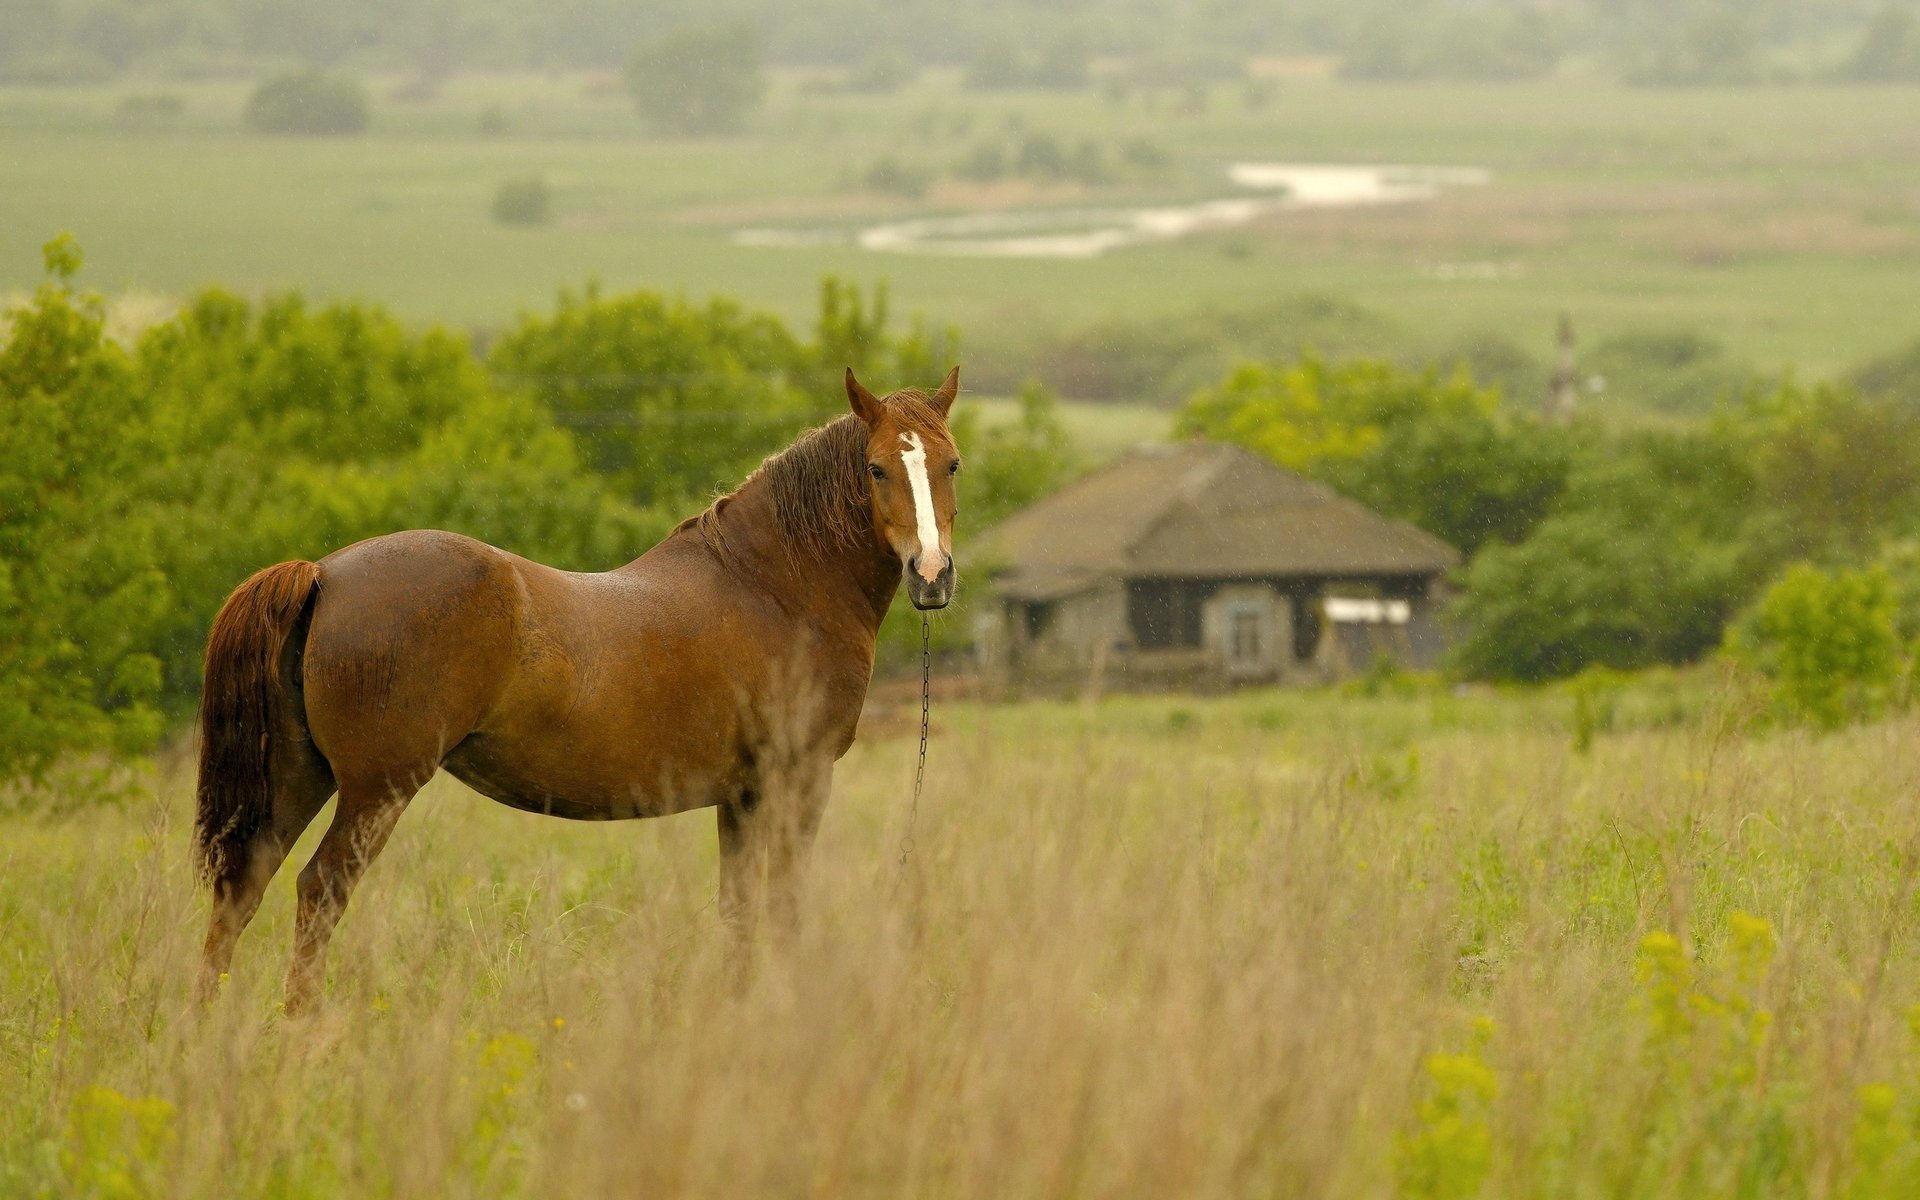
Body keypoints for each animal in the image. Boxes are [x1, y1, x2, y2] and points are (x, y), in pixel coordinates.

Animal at [194, 368, 963, 1012]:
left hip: (300, 776)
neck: (774, 583)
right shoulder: (796, 780)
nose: (932, 574)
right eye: (876, 467)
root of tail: (324, 574)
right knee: (319, 891)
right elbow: (783, 906)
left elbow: (739, 910)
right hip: (374, 790)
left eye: (950, 463)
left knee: (242, 889)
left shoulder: (742, 796)